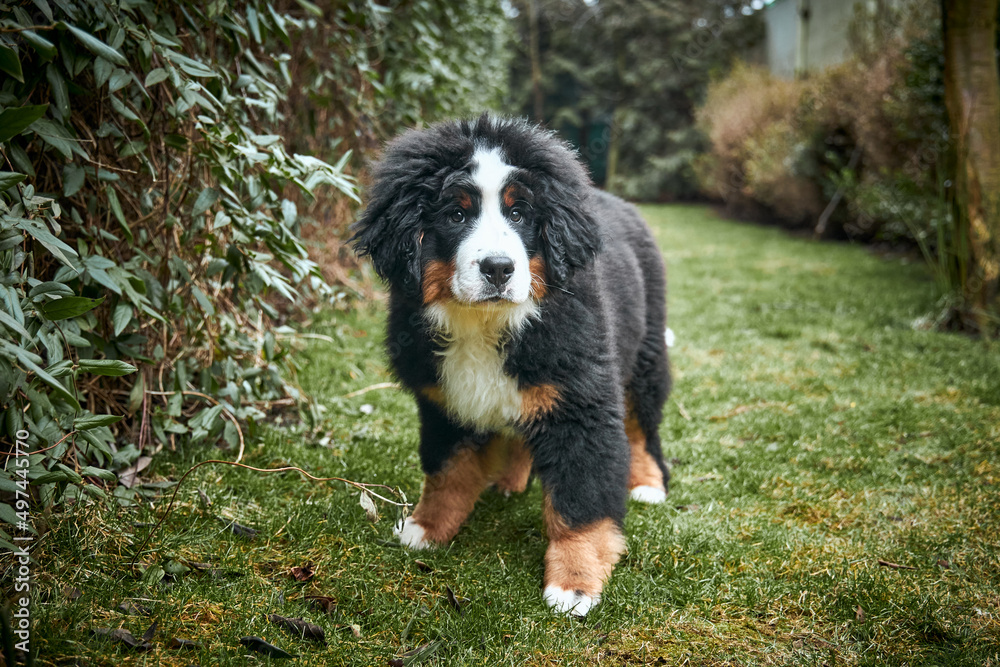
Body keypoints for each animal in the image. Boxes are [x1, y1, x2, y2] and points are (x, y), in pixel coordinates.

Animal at [352, 113, 672, 616]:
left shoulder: (579, 403)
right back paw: (509, 478)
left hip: (644, 353)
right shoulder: (443, 403)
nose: (499, 268)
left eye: (519, 213)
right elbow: (446, 471)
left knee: (642, 425)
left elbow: (579, 501)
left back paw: (648, 483)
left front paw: (574, 583)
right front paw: (425, 528)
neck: (484, 324)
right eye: (456, 215)